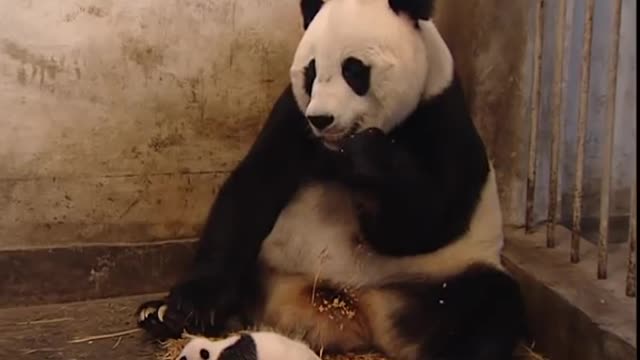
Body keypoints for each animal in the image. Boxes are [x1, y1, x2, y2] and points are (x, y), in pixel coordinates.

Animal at [138, 0, 528, 360]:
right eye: (311, 72)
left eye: (354, 70)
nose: (322, 119)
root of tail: (356, 314)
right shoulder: (294, 116)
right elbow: (253, 189)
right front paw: (192, 306)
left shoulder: (442, 115)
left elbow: (425, 223)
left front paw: (367, 160)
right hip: (272, 264)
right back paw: (161, 314)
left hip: (437, 280)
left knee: (488, 306)